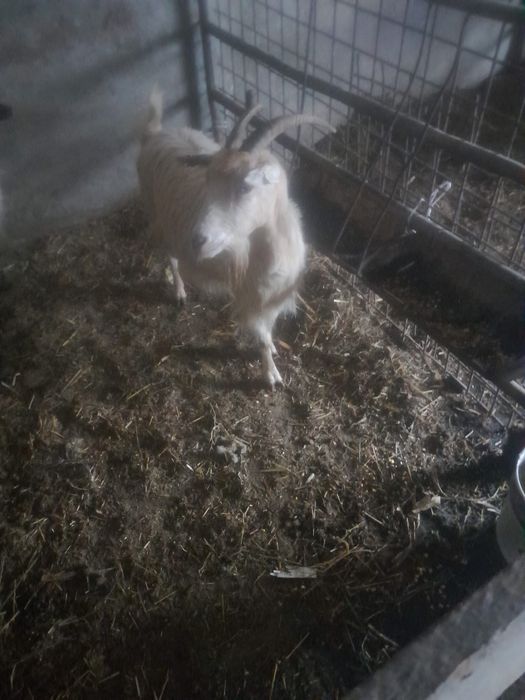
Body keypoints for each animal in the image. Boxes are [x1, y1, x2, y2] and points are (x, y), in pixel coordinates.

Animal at [137, 89, 333, 387]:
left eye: (245, 187)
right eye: (208, 181)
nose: (198, 240)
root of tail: (155, 133)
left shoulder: (271, 295)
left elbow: (270, 328)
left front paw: (274, 347)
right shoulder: (250, 295)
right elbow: (261, 337)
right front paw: (271, 375)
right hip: (157, 213)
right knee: (171, 257)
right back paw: (179, 292)